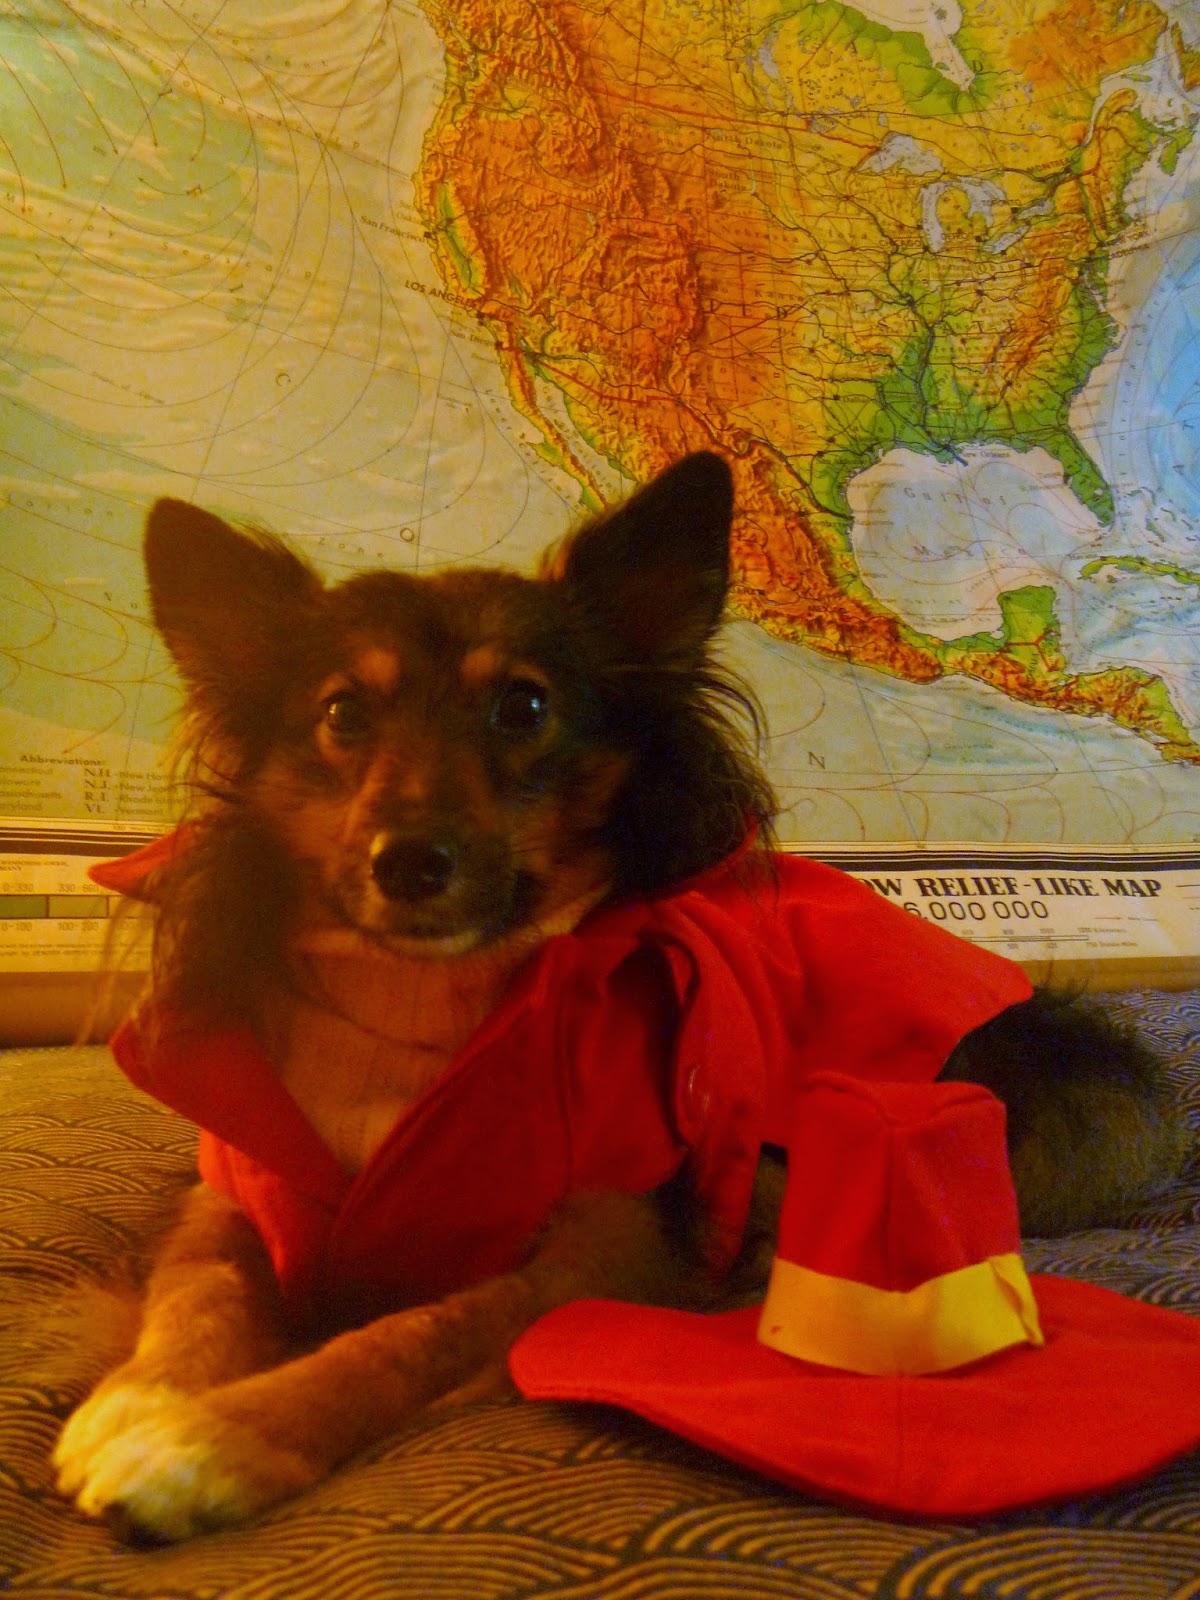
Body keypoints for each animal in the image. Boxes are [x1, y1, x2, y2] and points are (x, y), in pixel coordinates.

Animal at [54, 452, 1186, 1543]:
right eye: (342, 713)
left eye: (524, 707)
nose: (409, 862)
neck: (427, 1006)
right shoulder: (237, 1185)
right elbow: (197, 1289)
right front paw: (138, 1399)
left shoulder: (603, 1252)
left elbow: (407, 1333)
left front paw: (206, 1442)